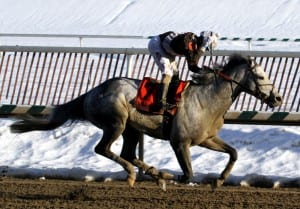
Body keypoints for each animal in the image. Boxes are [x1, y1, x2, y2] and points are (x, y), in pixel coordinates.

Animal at [9, 54, 282, 189]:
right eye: (260, 76)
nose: (277, 98)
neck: (207, 99)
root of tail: (91, 92)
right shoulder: (179, 142)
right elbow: (188, 174)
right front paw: (173, 177)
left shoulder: (207, 138)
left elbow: (233, 153)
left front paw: (219, 180)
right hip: (115, 123)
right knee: (103, 149)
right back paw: (137, 174)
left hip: (130, 129)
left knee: (127, 153)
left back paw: (154, 173)